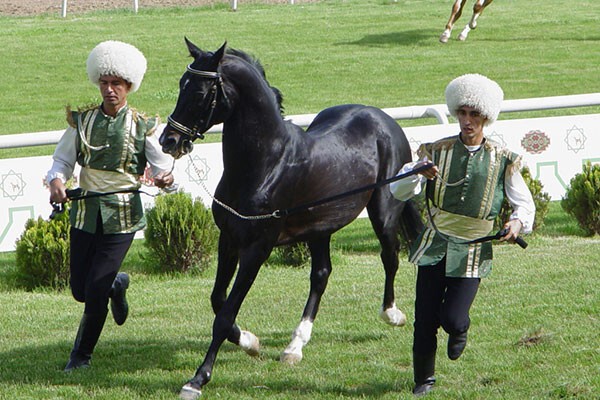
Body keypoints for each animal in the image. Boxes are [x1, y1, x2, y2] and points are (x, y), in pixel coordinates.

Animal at [159, 38, 422, 400]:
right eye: (181, 85)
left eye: (200, 91)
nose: (168, 141)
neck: (266, 164)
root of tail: (384, 120)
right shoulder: (229, 240)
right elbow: (217, 300)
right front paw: (250, 342)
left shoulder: (257, 248)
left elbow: (224, 314)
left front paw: (197, 380)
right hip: (321, 229)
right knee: (321, 275)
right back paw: (294, 346)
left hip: (383, 211)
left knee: (390, 255)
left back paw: (392, 314)